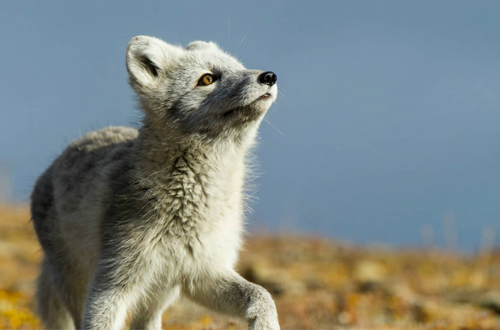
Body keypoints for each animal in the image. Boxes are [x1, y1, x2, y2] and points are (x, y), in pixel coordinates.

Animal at [30, 36, 282, 330]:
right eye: (207, 79)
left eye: (239, 67)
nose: (269, 76)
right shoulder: (112, 282)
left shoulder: (201, 272)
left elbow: (261, 293)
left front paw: (266, 323)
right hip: (78, 283)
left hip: (161, 292)